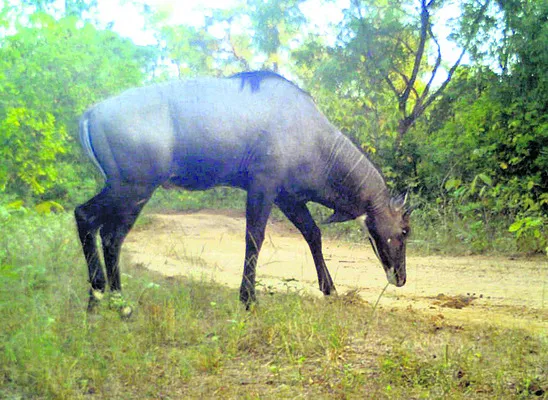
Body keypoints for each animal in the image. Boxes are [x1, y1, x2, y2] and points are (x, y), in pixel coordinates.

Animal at [76, 71, 412, 310]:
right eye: (405, 230)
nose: (401, 279)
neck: (314, 136)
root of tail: (91, 113)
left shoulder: (288, 198)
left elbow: (313, 234)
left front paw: (329, 288)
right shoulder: (263, 185)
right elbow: (255, 237)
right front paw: (248, 299)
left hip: (126, 189)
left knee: (95, 224)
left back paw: (98, 299)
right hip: (133, 188)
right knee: (102, 228)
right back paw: (117, 303)